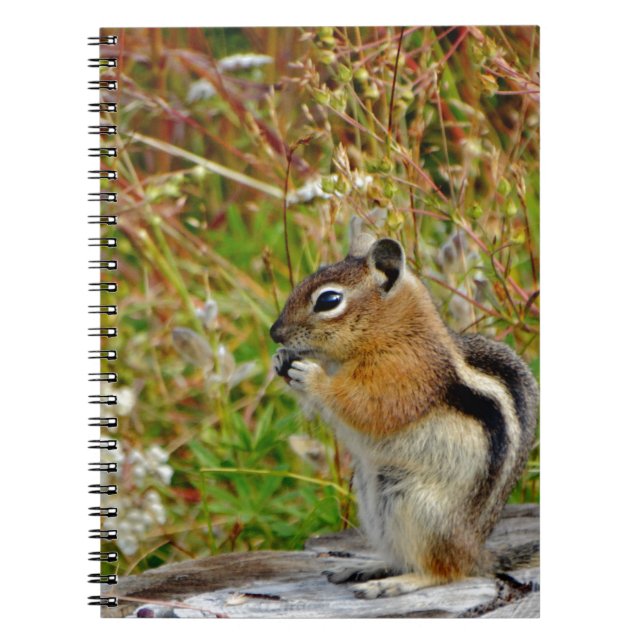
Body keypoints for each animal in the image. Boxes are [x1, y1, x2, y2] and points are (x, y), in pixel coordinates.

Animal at [269, 221, 538, 599]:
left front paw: (313, 377)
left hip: (415, 504)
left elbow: (366, 406)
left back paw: (395, 583)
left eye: (328, 300)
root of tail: (474, 552)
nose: (274, 333)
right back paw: (367, 568)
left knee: (444, 571)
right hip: (373, 502)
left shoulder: (404, 373)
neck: (394, 331)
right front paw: (281, 359)